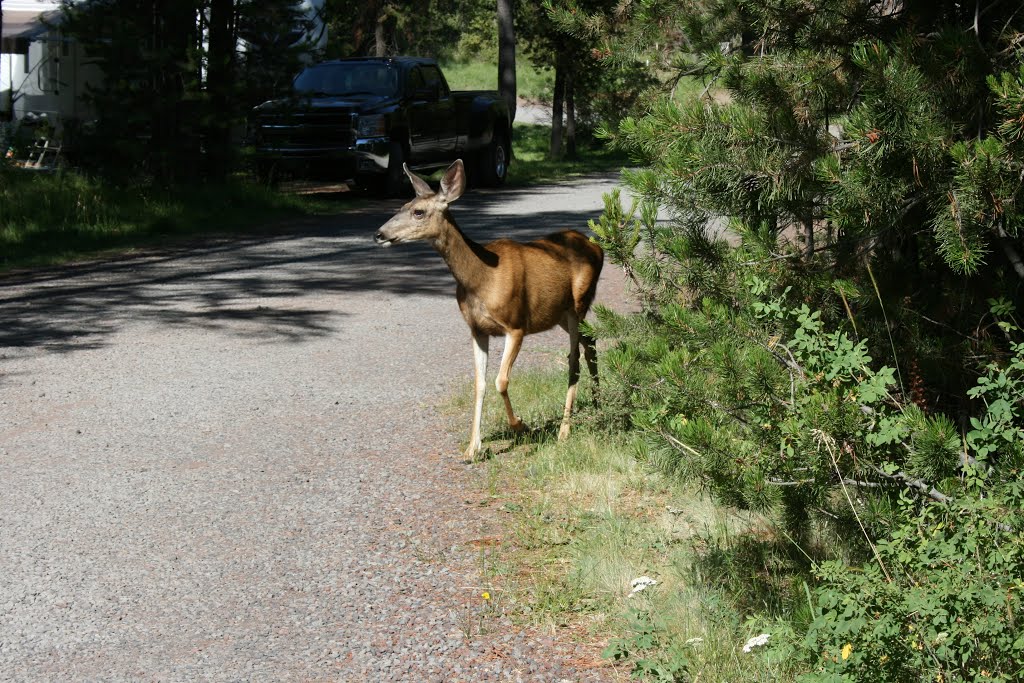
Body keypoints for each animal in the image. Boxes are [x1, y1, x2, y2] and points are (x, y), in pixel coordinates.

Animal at [374, 158, 598, 458]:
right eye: (402, 205)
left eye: (418, 212)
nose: (379, 234)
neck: (480, 279)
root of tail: (597, 247)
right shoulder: (477, 329)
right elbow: (479, 384)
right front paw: (472, 448)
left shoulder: (516, 324)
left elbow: (500, 381)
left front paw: (521, 426)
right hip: (560, 314)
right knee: (591, 343)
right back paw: (597, 402)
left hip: (578, 303)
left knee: (574, 359)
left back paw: (564, 431)